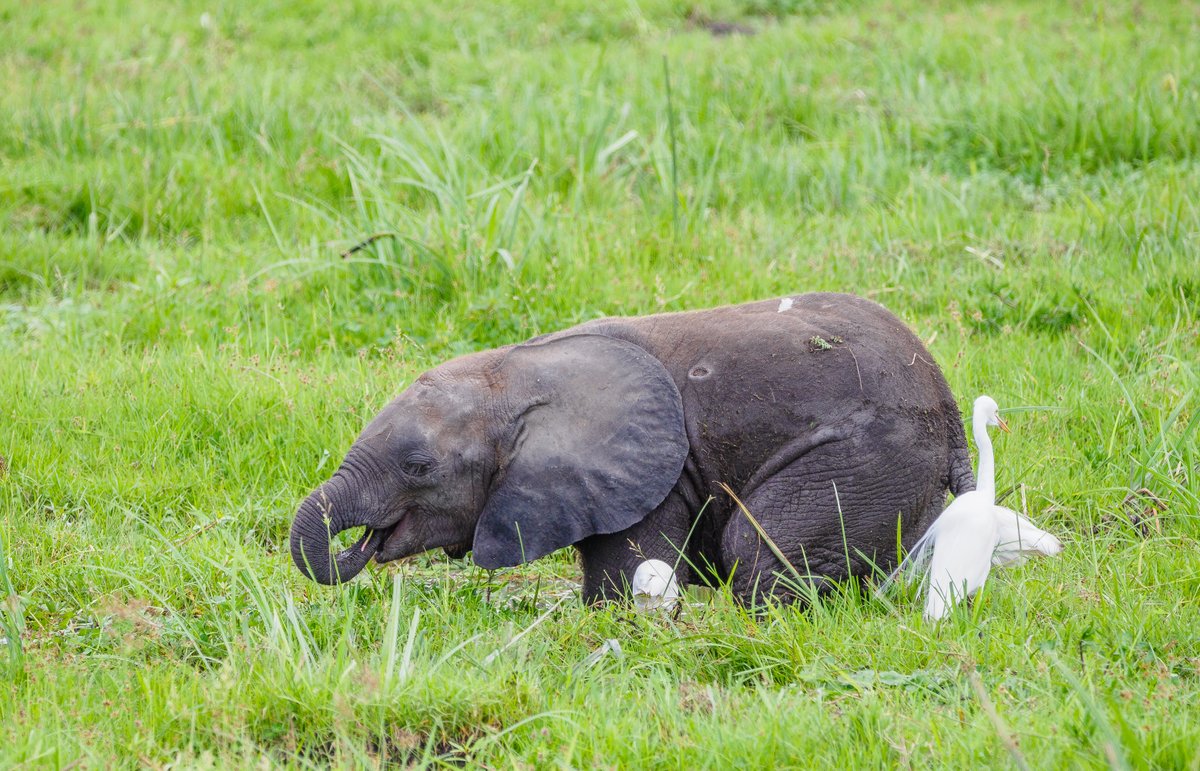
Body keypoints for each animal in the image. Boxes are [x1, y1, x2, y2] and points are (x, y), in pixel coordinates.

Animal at [289, 293, 974, 606]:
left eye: (419, 467)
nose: (355, 545)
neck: (516, 371)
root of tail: (947, 399)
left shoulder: (655, 478)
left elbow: (622, 578)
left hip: (871, 457)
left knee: (754, 551)